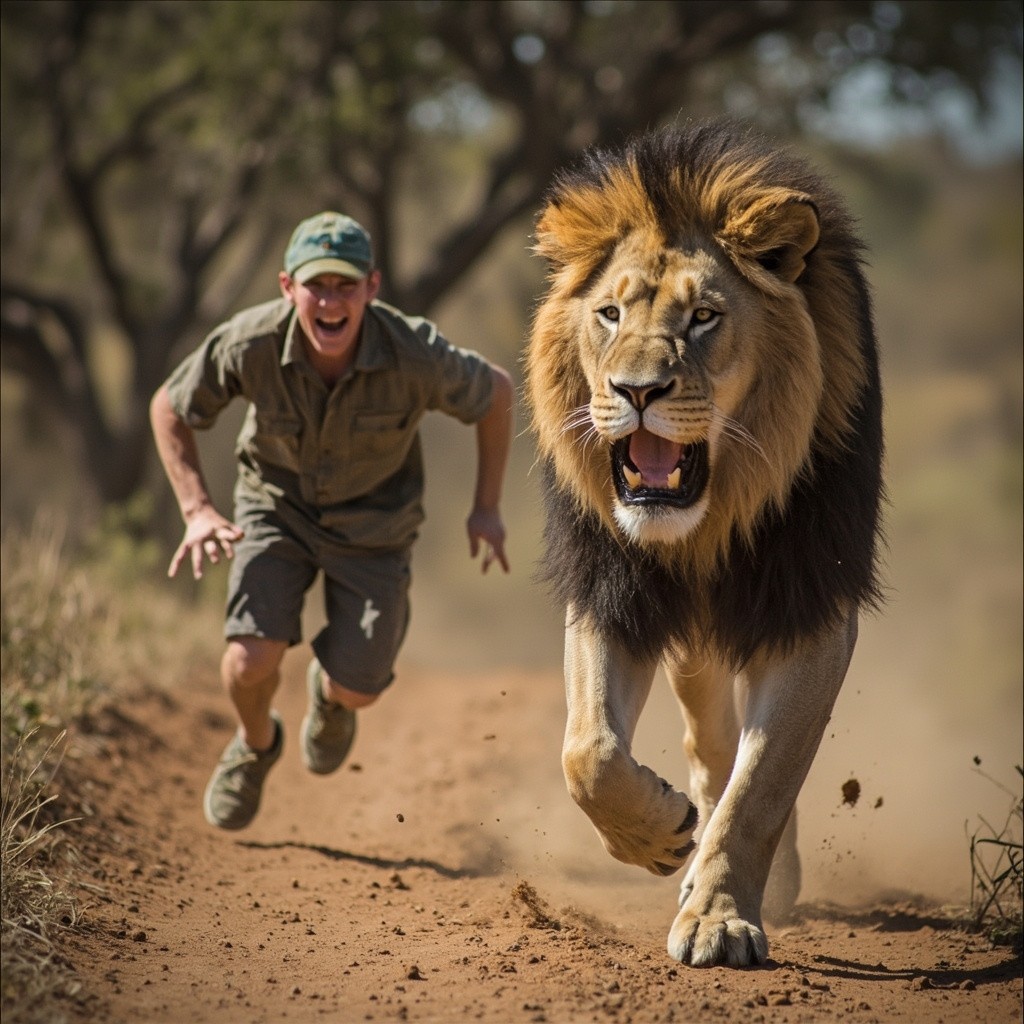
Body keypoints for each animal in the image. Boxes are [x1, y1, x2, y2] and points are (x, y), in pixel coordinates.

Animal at [524, 122, 884, 968]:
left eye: (704, 319)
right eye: (610, 314)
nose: (636, 391)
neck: (708, 521)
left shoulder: (813, 608)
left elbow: (763, 787)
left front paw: (719, 919)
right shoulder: (611, 590)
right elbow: (587, 751)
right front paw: (656, 834)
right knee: (709, 739)